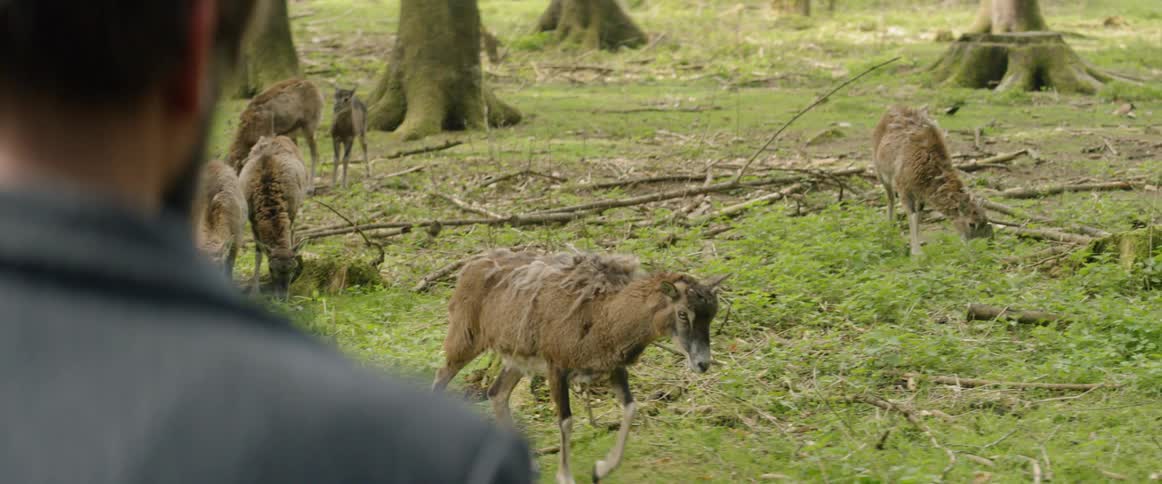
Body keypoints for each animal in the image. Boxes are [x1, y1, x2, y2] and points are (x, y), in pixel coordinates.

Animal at [238, 135, 308, 300]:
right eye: (271, 269)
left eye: (293, 269)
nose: (282, 298)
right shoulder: (253, 219)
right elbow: (258, 253)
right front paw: (254, 291)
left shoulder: (291, 211)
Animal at [433, 248, 728, 484]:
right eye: (683, 313)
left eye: (712, 315)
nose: (702, 363)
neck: (605, 317)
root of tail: (470, 267)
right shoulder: (557, 367)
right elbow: (566, 421)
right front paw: (566, 477)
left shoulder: (613, 368)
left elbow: (631, 408)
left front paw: (601, 469)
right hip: (465, 339)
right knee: (441, 377)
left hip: (517, 359)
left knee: (497, 393)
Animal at [872, 105, 993, 257]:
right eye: (971, 223)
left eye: (985, 220)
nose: (979, 249)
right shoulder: (903, 187)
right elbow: (911, 215)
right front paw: (916, 253)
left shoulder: (921, 194)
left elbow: (918, 216)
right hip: (880, 171)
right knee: (890, 199)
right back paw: (888, 231)